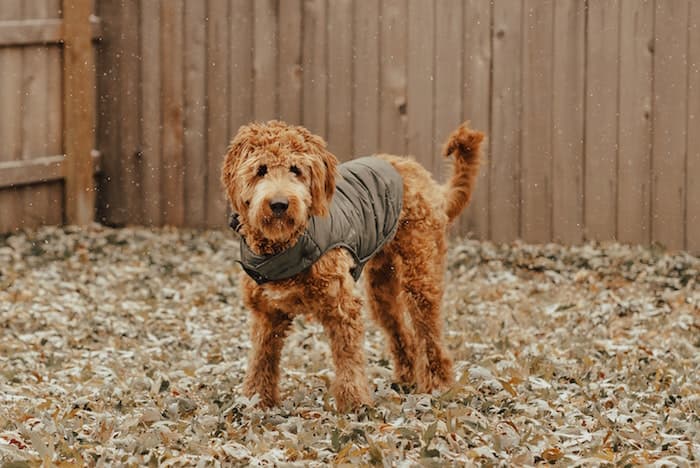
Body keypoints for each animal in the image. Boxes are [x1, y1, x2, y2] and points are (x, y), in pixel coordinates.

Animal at [221, 119, 484, 410]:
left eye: (295, 170)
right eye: (261, 170)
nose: (279, 204)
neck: (285, 245)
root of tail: (421, 175)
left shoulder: (342, 306)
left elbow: (348, 358)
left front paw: (355, 404)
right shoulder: (267, 313)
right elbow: (261, 359)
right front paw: (256, 401)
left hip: (420, 272)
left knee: (429, 333)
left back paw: (438, 385)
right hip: (381, 289)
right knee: (402, 333)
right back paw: (405, 380)